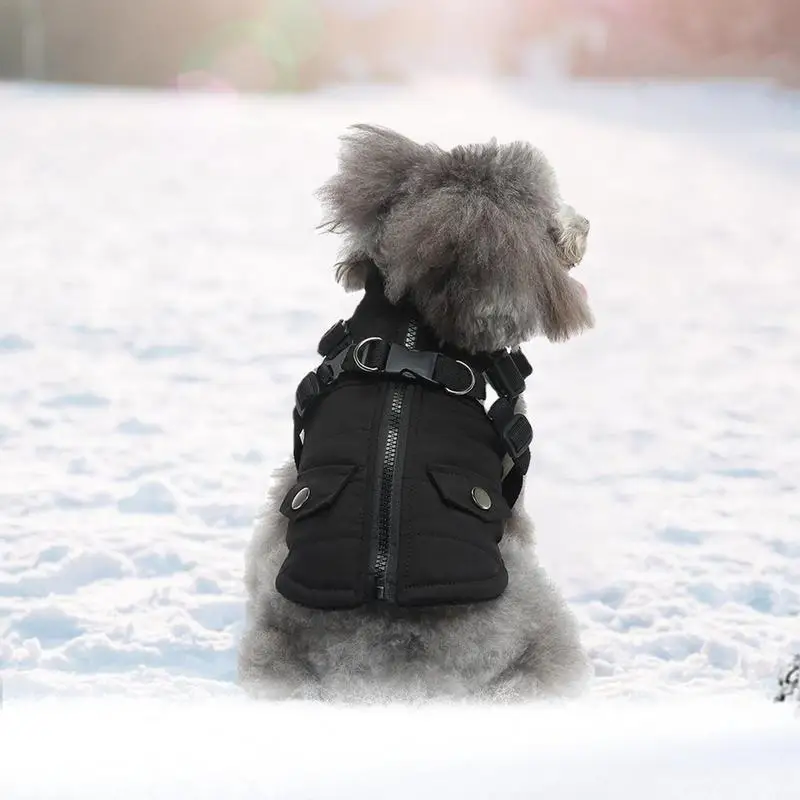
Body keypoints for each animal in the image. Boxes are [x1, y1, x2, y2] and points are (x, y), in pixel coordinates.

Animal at [238, 123, 592, 700]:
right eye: (546, 215)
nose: (585, 226)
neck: (409, 335)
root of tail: (397, 671)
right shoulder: (510, 492)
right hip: (540, 615)